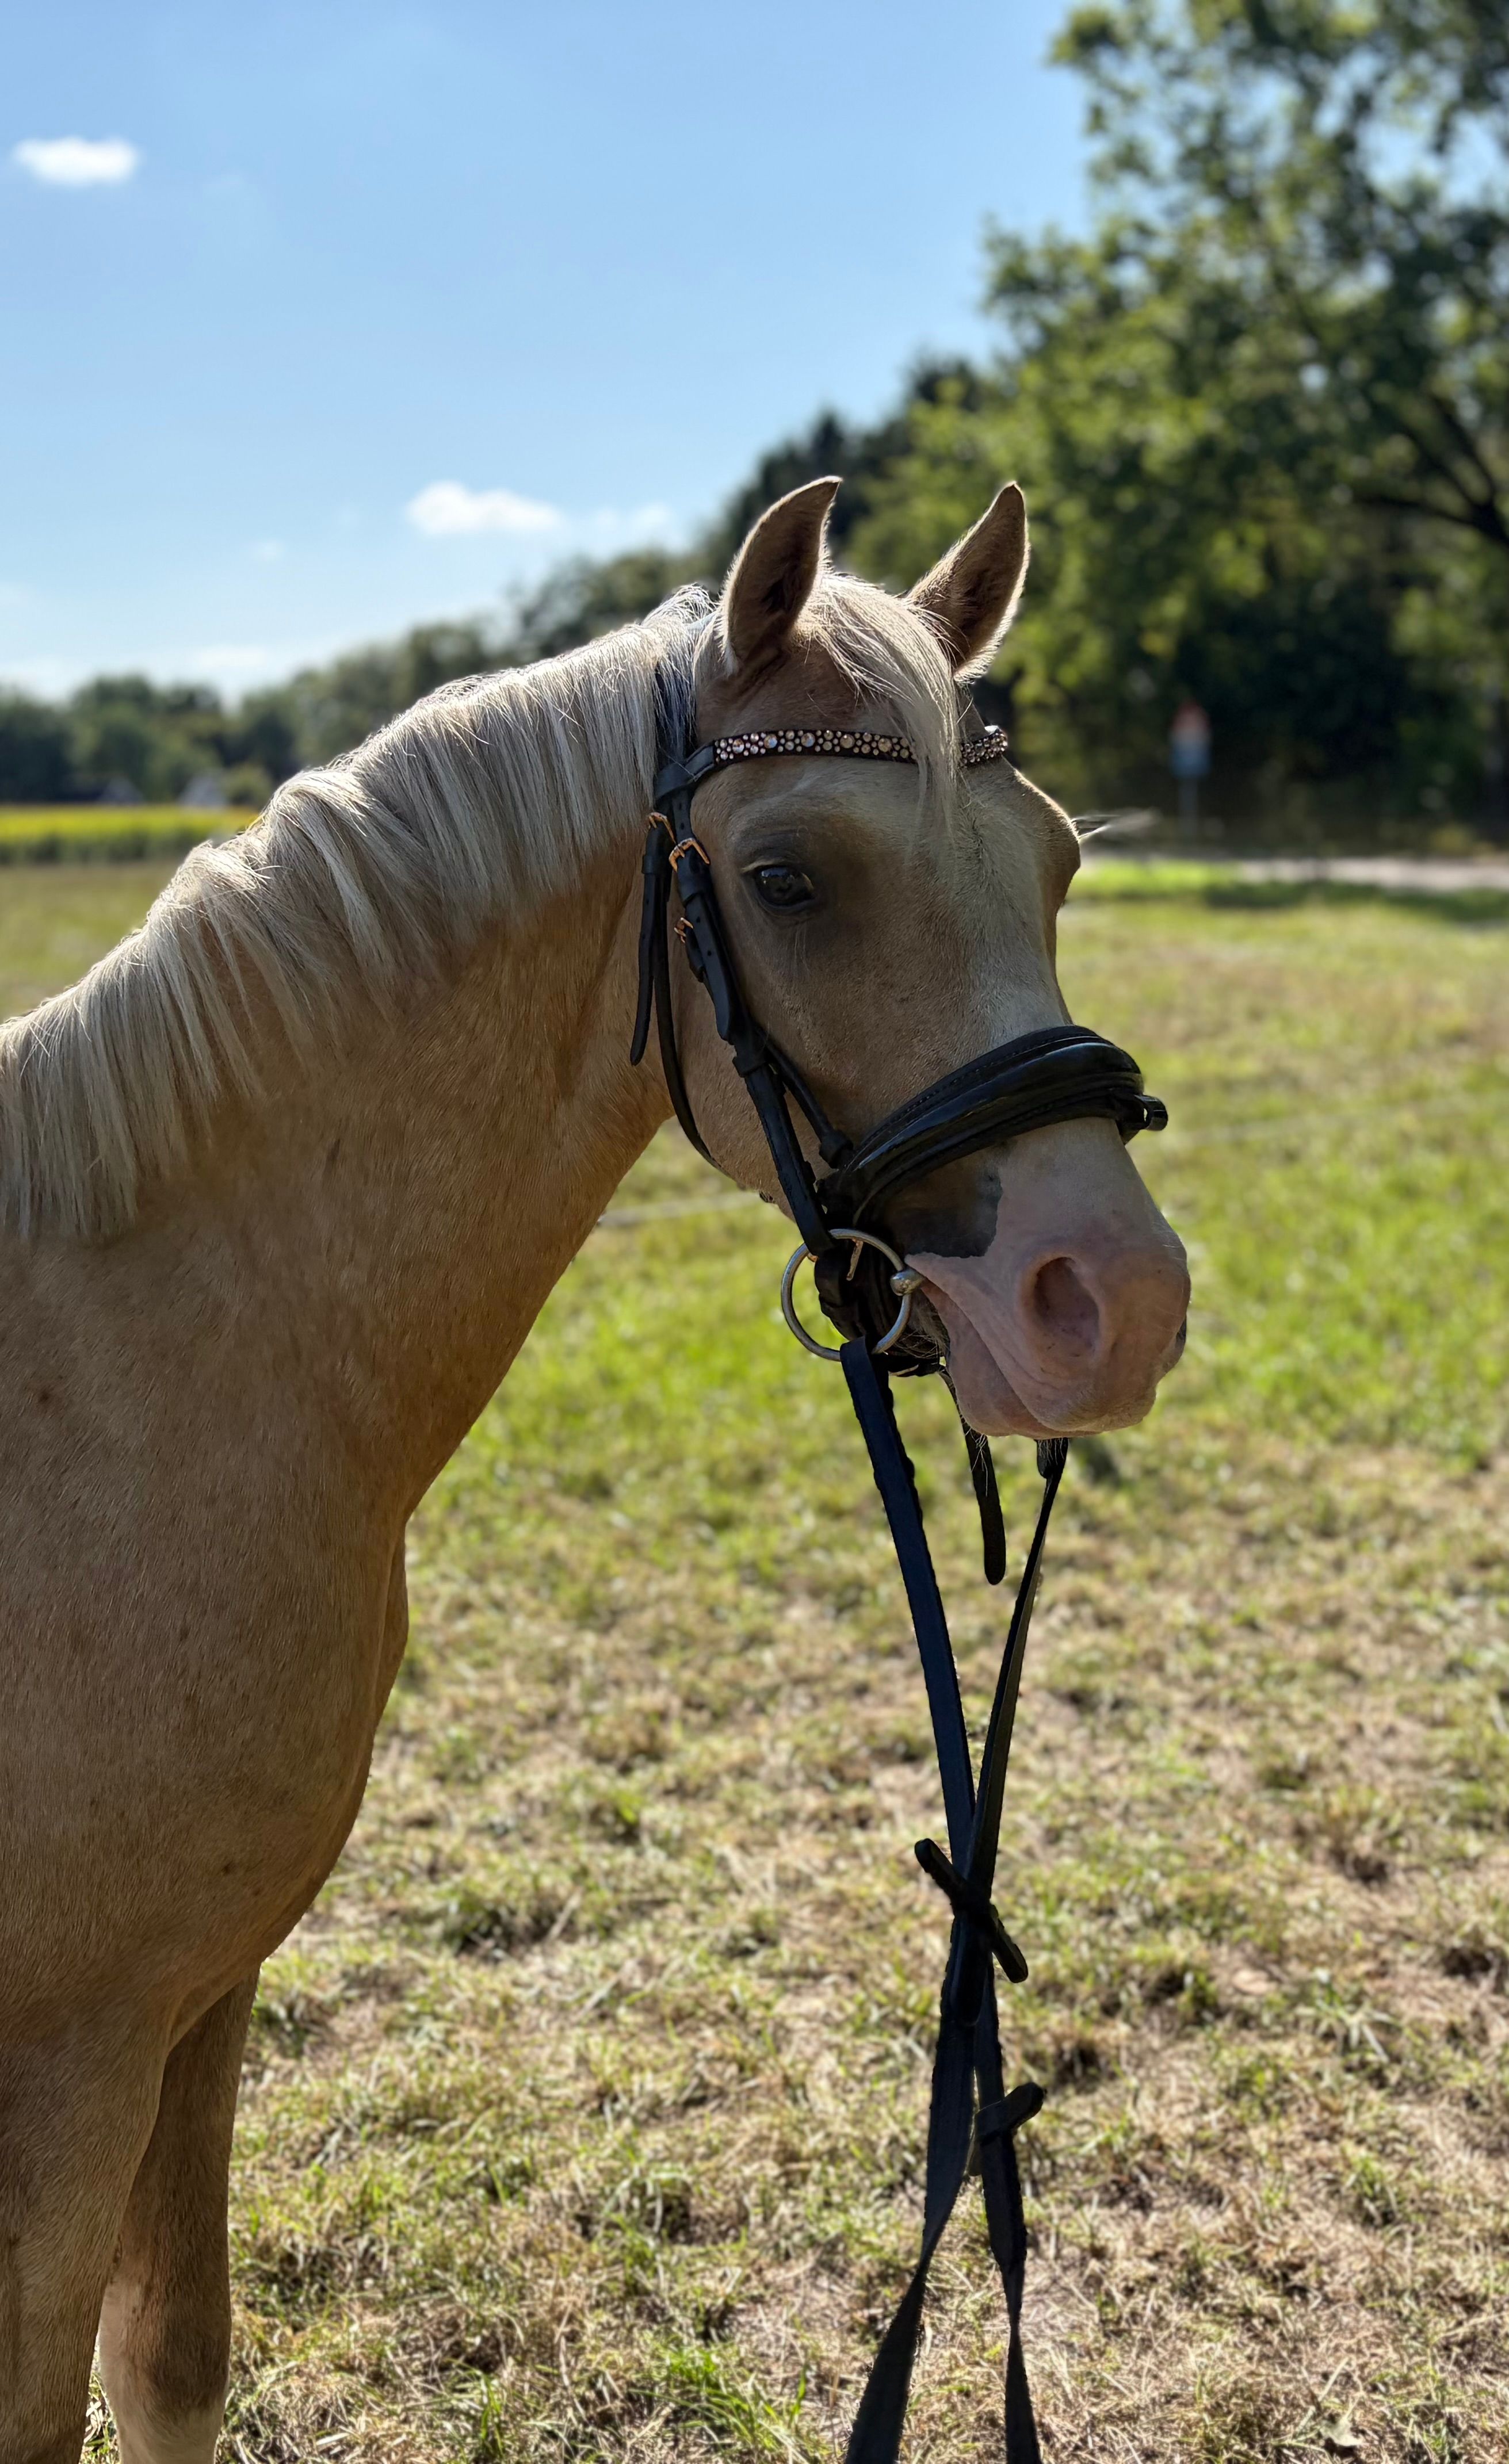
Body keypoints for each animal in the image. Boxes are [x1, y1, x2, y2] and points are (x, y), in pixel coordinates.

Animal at [0, 476, 1188, 2464]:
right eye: (786, 878)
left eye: (1050, 866)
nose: (1115, 1302)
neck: (125, 1367)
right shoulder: (62, 2064)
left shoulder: (195, 1998)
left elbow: (169, 2365)